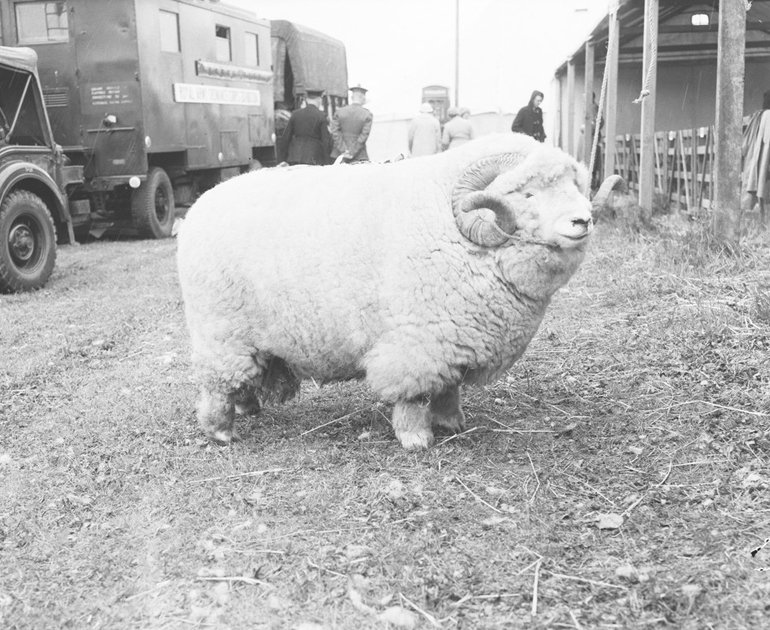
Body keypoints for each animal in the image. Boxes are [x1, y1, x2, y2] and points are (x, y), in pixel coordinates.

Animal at [177, 133, 593, 450]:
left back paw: (247, 407)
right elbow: (411, 395)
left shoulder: (452, 337)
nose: (584, 220)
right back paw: (220, 431)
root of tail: (199, 205)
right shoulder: (417, 341)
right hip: (220, 330)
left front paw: (452, 422)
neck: (453, 226)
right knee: (216, 384)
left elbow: (450, 387)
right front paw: (415, 438)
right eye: (527, 195)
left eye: (574, 186)